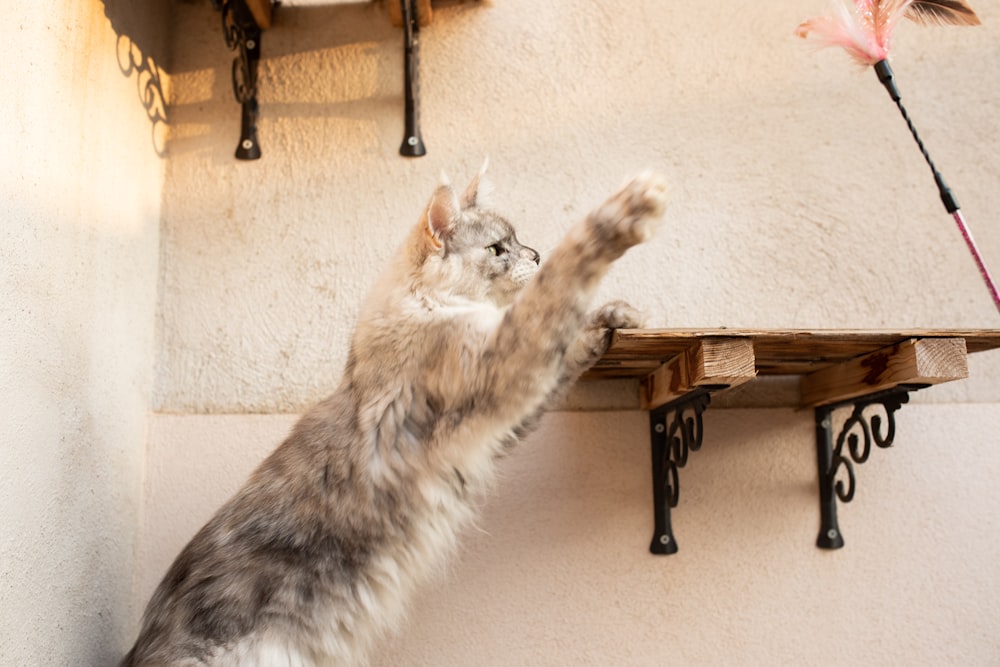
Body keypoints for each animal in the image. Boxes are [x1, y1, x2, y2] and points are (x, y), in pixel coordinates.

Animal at [121, 163, 668, 667]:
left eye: (519, 242)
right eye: (497, 249)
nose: (534, 255)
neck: (426, 305)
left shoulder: (500, 419)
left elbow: (569, 335)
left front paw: (617, 317)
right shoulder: (504, 366)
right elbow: (560, 286)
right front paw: (630, 209)